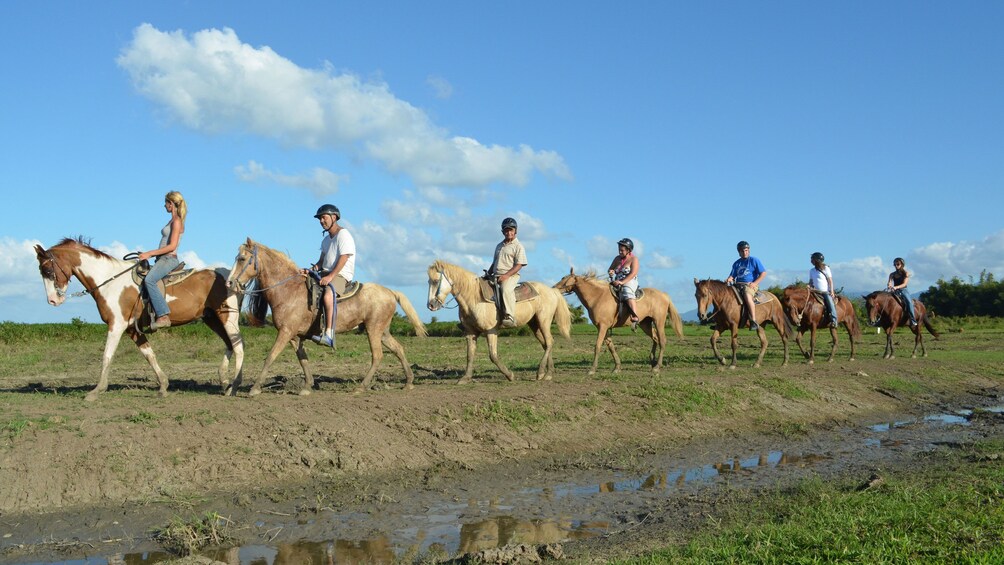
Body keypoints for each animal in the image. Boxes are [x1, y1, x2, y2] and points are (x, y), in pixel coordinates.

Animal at [225, 238, 425, 397]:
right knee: (398, 349)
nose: (229, 282)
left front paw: (255, 388)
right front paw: (307, 386)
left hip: (373, 330)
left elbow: (270, 356)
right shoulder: (294, 336)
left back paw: (361, 387)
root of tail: (390, 292)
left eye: (242, 259)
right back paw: (408, 382)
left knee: (377, 356)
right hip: (382, 331)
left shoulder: (285, 332)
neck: (288, 290)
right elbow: (303, 359)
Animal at [425, 260, 574, 385]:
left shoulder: (491, 331)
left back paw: (542, 373)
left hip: (544, 321)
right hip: (534, 324)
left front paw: (510, 375)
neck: (473, 297)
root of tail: (552, 291)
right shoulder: (470, 332)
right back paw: (549, 373)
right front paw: (465, 378)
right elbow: (469, 355)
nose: (431, 305)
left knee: (549, 342)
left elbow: (493, 355)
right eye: (428, 281)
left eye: (436, 281)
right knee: (546, 344)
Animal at [554, 268, 686, 375]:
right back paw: (653, 362)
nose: (554, 288)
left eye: (564, 279)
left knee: (662, 340)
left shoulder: (602, 327)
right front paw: (617, 367)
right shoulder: (603, 327)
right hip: (645, 324)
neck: (597, 297)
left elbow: (597, 346)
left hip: (659, 322)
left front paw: (592, 369)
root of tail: (664, 295)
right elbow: (610, 346)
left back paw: (657, 367)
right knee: (655, 339)